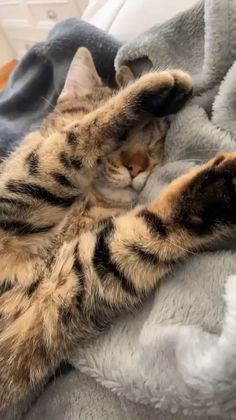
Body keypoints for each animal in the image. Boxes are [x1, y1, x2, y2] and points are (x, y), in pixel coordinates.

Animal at [0, 46, 236, 410]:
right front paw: (149, 90)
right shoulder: (17, 192)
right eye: (124, 137)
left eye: (155, 142)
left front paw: (221, 189)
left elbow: (147, 232)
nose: (136, 166)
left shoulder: (77, 279)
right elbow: (70, 143)